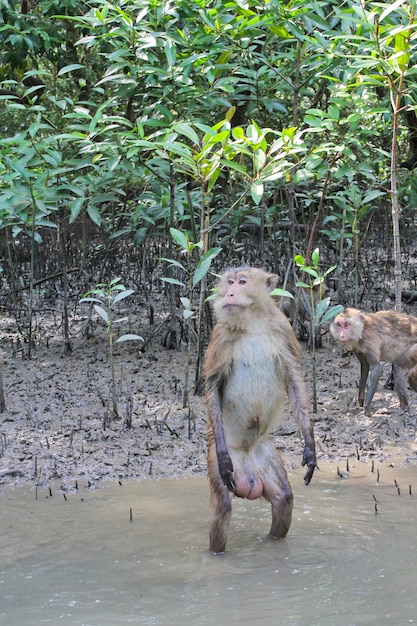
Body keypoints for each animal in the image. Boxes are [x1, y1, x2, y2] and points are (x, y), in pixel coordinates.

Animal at [204, 264, 316, 552]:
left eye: (242, 282)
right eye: (230, 282)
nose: (230, 292)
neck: (252, 323)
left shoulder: (283, 328)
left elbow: (294, 379)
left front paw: (310, 447)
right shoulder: (220, 335)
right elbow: (213, 385)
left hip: (264, 453)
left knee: (284, 497)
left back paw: (274, 543)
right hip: (220, 458)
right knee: (223, 504)